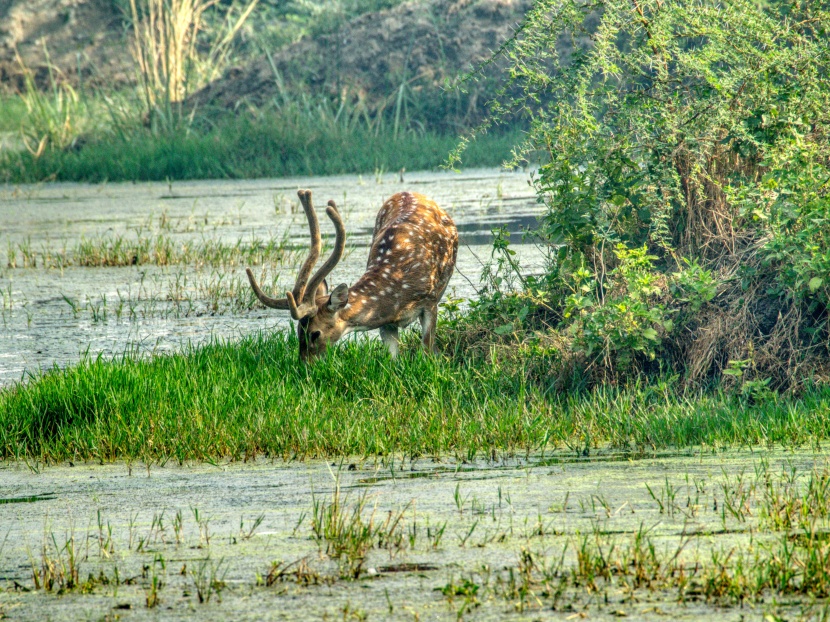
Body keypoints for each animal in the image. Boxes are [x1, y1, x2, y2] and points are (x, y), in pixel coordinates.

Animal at [245, 193, 462, 364]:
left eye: (315, 333)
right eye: (298, 331)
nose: (305, 365)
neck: (398, 294)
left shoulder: (430, 302)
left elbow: (427, 351)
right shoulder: (387, 323)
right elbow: (392, 360)